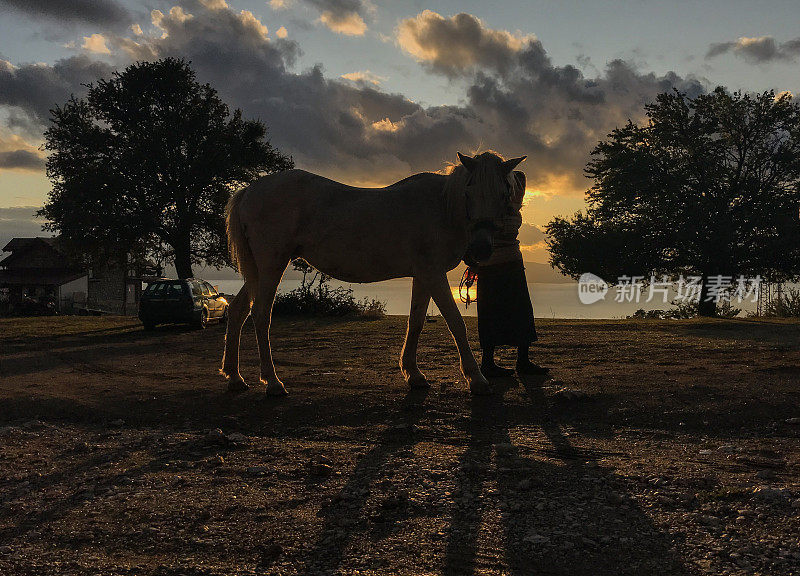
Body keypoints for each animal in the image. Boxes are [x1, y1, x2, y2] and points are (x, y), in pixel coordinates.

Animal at [222, 151, 528, 396]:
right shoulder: (433, 273)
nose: (481, 249)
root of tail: (250, 190)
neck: (441, 208)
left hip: (258, 270)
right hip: (271, 266)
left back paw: (235, 378)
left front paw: (413, 374)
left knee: (238, 311)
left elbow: (416, 321)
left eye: (504, 194)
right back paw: (273, 383)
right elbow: (456, 323)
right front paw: (477, 379)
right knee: (261, 315)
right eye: (468, 191)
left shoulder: (424, 275)